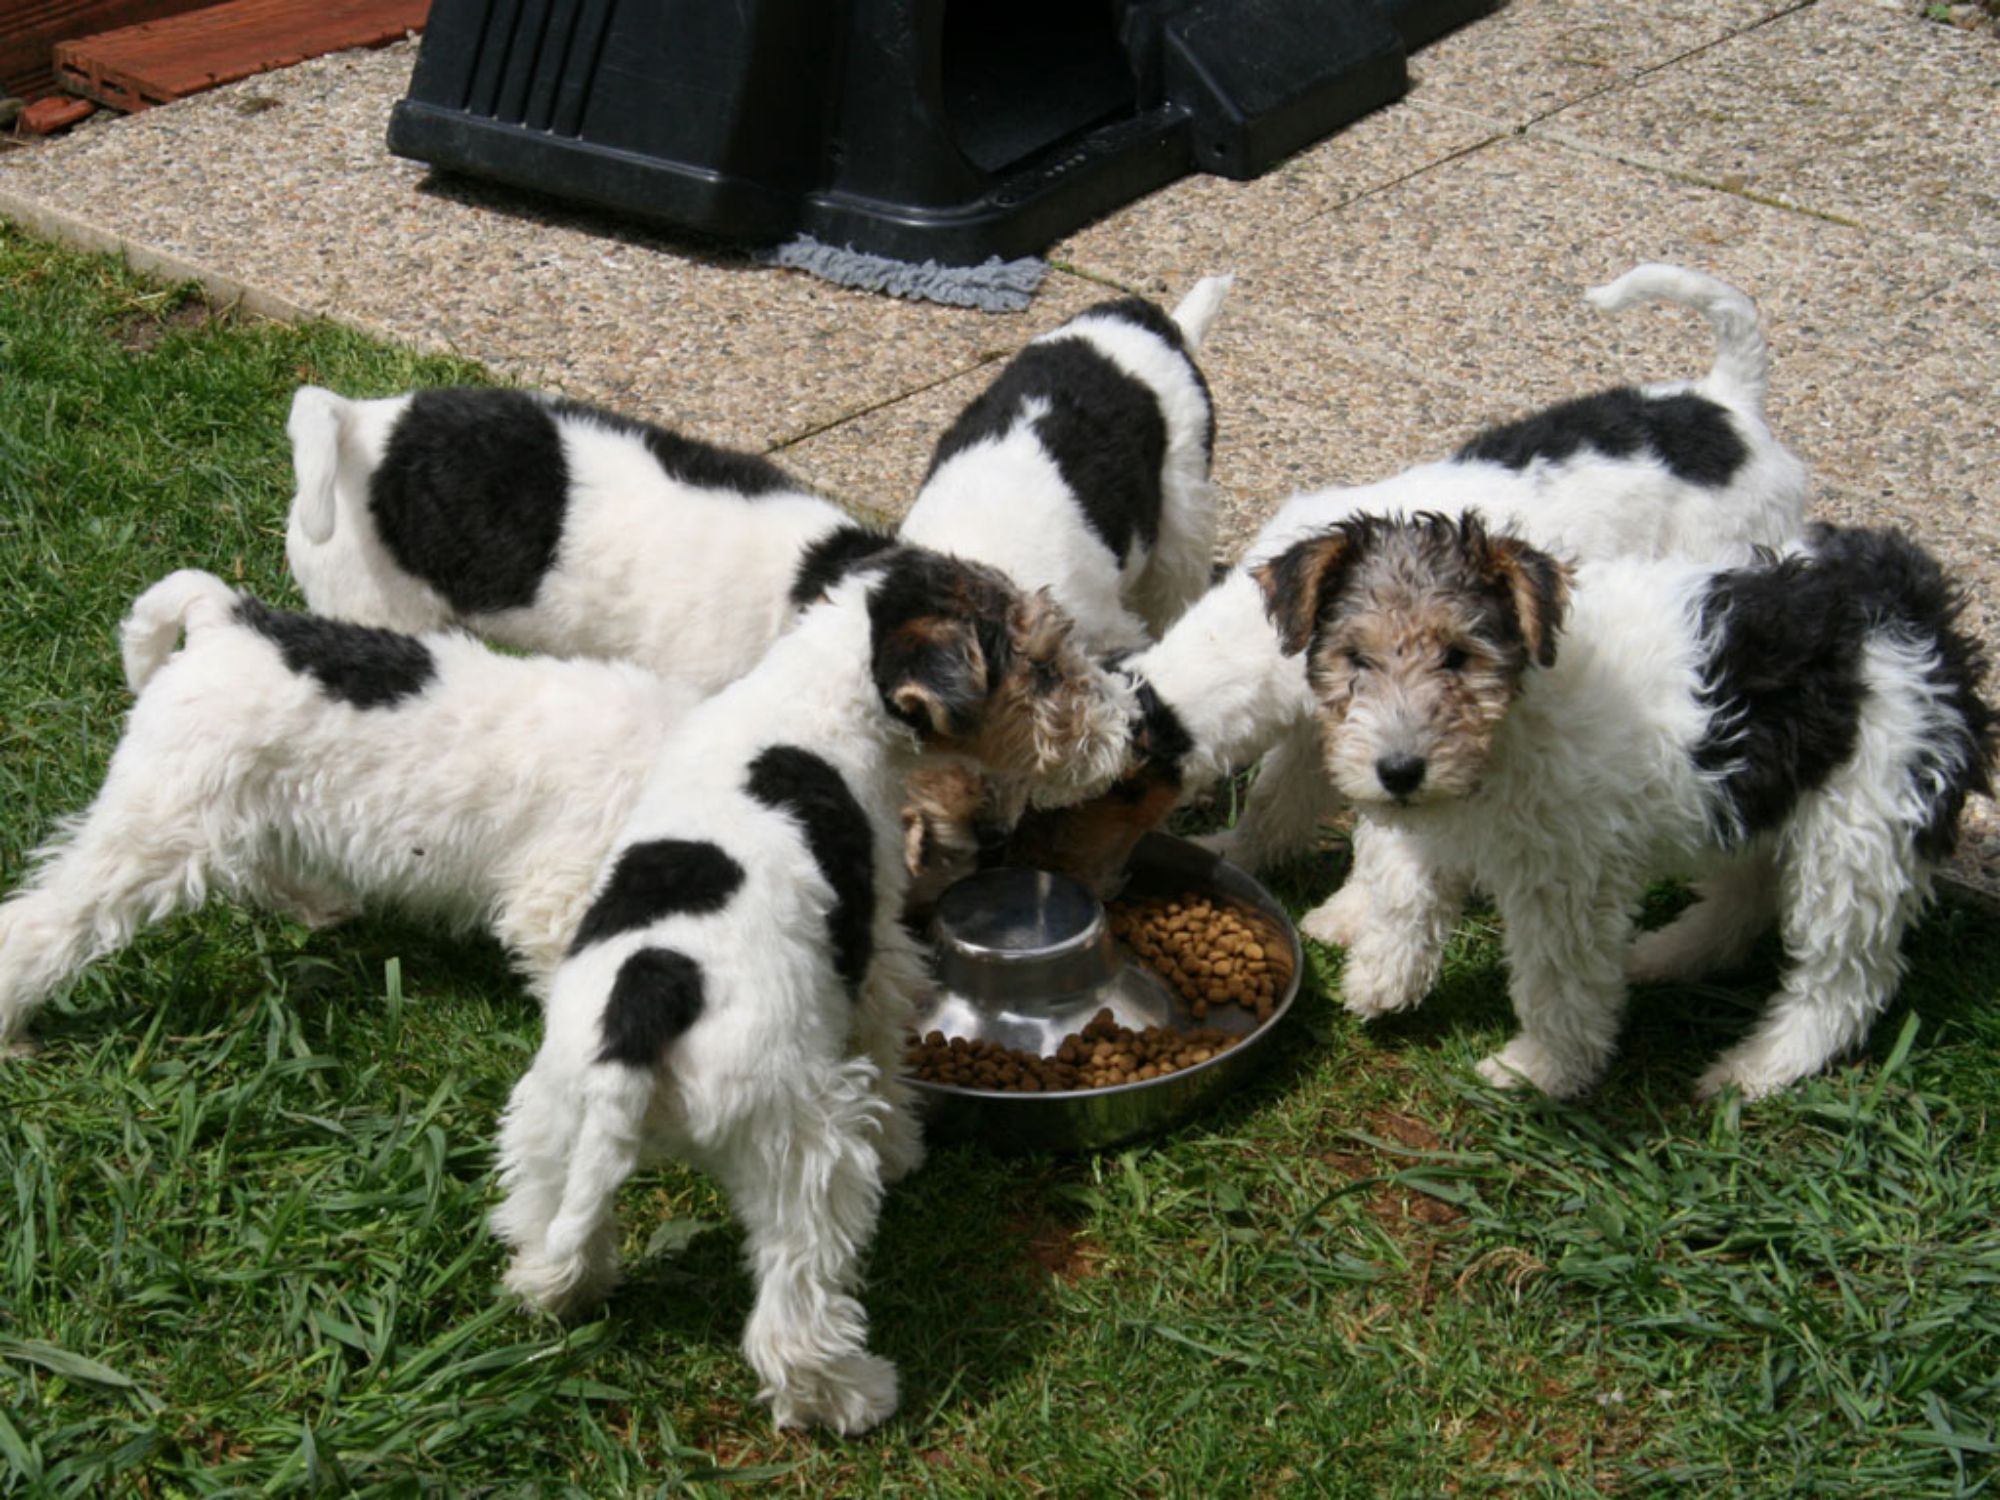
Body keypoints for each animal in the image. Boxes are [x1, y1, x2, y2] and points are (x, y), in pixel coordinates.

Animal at [0, 571, 708, 1055]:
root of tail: (224, 617)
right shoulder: (560, 896)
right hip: (160, 820)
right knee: (45, 920)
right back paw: (13, 1031)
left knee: (258, 867)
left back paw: (322, 906)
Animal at [488, 546, 1134, 1435]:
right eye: (1042, 667)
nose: (1126, 726)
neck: (814, 686)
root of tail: (645, 1008)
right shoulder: (880, 954)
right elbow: (888, 1048)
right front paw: (905, 1150)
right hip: (804, 1150)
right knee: (791, 1312)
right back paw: (854, 1395)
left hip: (551, 1121)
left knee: (551, 1221)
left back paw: (558, 1287)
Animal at [1011, 265, 1809, 925]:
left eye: (1073, 809)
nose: (1072, 892)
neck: (1256, 636)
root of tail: (1732, 404)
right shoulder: (1322, 727)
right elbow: (1277, 799)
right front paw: (1238, 853)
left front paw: (1343, 916)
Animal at [1258, 512, 1991, 1100]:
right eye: (1355, 656)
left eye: (1459, 656)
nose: (1400, 771)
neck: (1514, 717)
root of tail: (1908, 604)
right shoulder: (1442, 818)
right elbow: (1405, 881)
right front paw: (1382, 976)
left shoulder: (1566, 879)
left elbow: (1558, 980)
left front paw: (1543, 1070)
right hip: (1750, 788)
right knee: (1745, 895)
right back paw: (1665, 955)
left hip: (1860, 828)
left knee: (1847, 981)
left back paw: (1756, 1067)